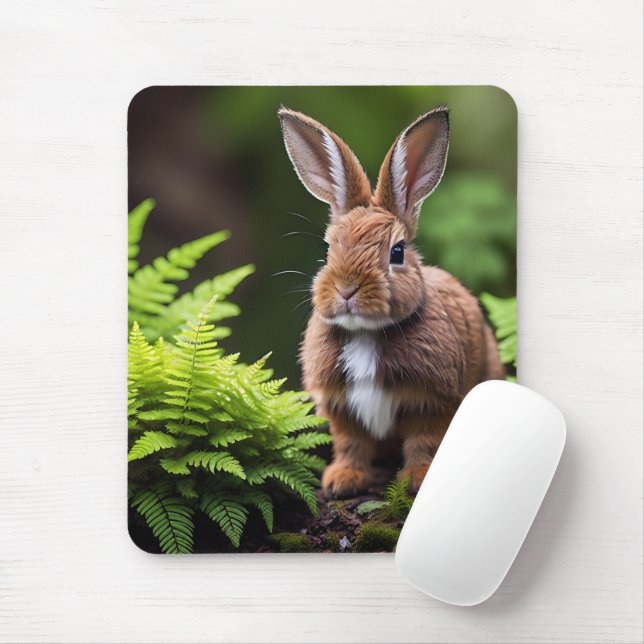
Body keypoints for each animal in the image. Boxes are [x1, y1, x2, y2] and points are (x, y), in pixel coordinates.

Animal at [278, 105, 505, 499]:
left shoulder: (431, 401)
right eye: (328, 250)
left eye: (397, 252)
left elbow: (424, 441)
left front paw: (416, 479)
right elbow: (351, 443)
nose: (347, 289)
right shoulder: (341, 406)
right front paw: (342, 481)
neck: (366, 333)